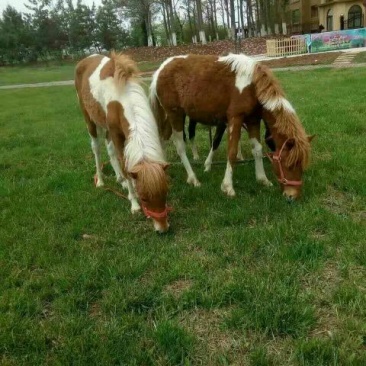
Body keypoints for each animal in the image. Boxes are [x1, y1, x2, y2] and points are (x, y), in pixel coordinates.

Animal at [75, 52, 172, 232]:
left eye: (165, 193)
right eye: (144, 198)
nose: (162, 228)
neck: (122, 99)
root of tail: (86, 59)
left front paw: (128, 184)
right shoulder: (117, 135)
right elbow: (126, 166)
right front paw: (134, 204)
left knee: (110, 151)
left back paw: (120, 180)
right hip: (90, 122)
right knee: (97, 149)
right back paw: (101, 181)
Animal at [150, 53, 314, 200]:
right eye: (289, 164)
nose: (292, 196)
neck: (252, 86)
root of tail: (161, 69)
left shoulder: (253, 120)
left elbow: (257, 150)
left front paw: (262, 179)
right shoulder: (235, 118)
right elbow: (232, 152)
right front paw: (228, 187)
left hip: (171, 116)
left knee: (162, 139)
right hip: (175, 115)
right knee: (180, 147)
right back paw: (193, 179)